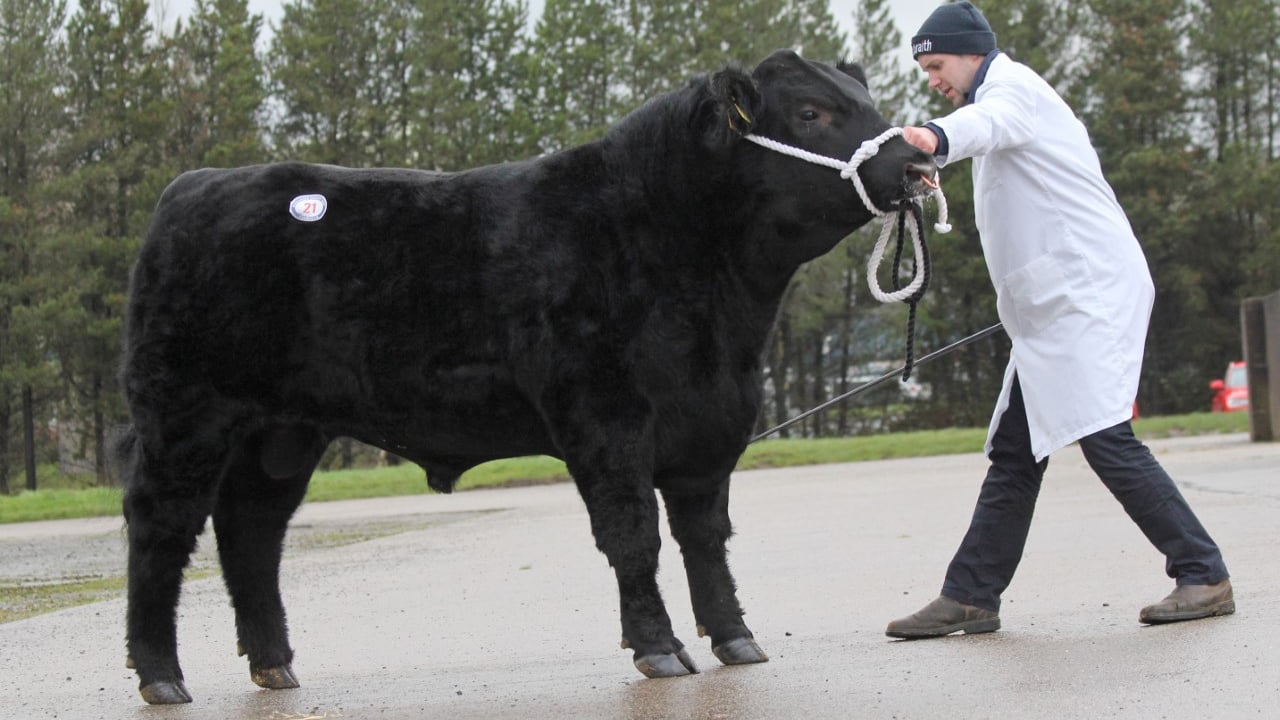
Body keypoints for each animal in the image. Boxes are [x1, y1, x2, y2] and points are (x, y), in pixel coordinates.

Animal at [115, 49, 936, 704]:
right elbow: (635, 537)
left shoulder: (710, 426)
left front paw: (736, 638)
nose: (918, 164)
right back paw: (161, 676)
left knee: (251, 532)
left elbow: (706, 537)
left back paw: (275, 664)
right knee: (161, 531)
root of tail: (193, 186)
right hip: (185, 414)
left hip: (283, 432)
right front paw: (659, 649)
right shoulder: (604, 418)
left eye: (865, 102)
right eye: (811, 110)